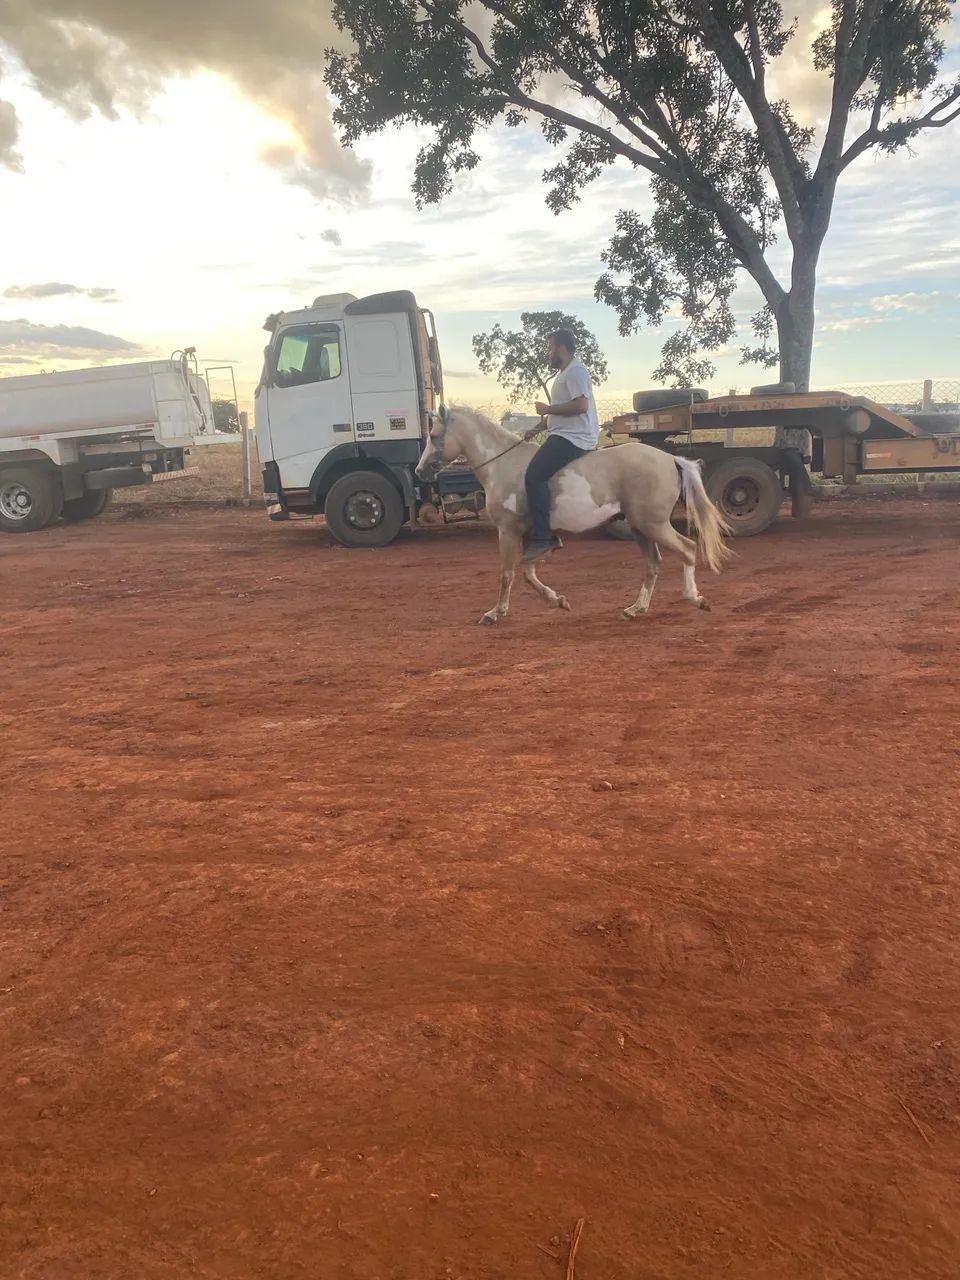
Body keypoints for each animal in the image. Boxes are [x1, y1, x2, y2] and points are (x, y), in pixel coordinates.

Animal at [415, 406, 731, 626]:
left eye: (433, 436)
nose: (420, 470)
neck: (504, 465)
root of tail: (671, 459)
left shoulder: (508, 531)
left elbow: (508, 573)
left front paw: (495, 613)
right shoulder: (532, 536)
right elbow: (528, 571)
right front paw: (557, 600)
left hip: (652, 524)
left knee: (688, 549)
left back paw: (695, 599)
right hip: (640, 527)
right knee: (653, 564)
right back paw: (635, 609)